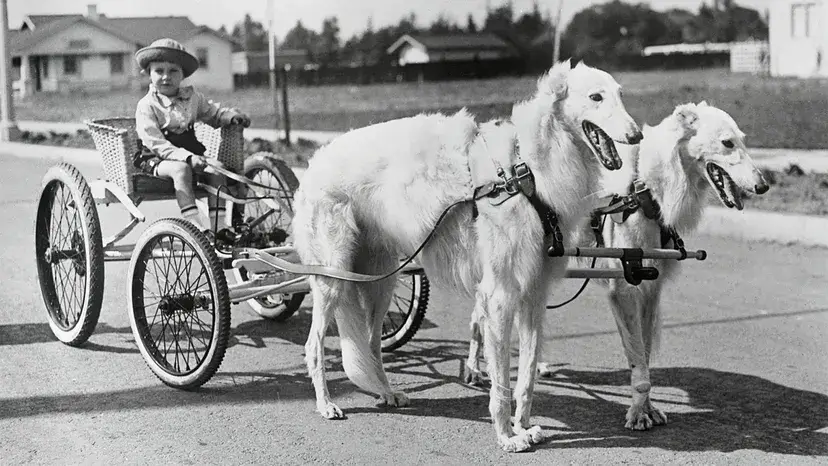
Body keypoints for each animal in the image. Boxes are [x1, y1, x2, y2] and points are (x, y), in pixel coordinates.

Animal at [292, 61, 640, 452]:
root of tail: (314, 162)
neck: (528, 169)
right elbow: (501, 379)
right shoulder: (499, 295)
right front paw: (507, 436)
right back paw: (326, 404)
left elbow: (527, 374)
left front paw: (523, 426)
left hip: (379, 279)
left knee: (370, 345)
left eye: (621, 94)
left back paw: (386, 392)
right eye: (596, 97)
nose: (637, 135)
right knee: (314, 344)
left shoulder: (534, 295)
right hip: (333, 276)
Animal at [536, 102, 768, 430]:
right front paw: (638, 412)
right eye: (727, 143)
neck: (645, 188)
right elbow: (636, 356)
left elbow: (643, 352)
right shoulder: (623, 289)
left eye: (743, 141)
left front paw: (647, 408)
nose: (763, 186)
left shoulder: (650, 290)